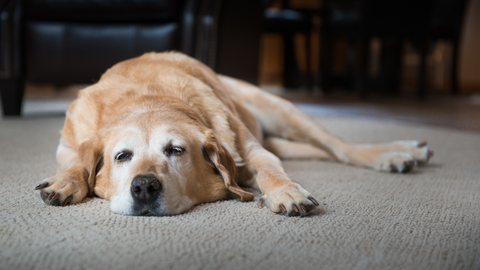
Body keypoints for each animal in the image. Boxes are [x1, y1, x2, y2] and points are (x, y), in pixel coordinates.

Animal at [34, 52, 436, 217]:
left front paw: (286, 192)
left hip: (282, 111)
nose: (144, 186)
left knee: (340, 148)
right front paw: (66, 183)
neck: (148, 98)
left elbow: (270, 169)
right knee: (319, 152)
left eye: (176, 150)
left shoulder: (252, 151)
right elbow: (76, 163)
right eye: (122, 156)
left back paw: (395, 154)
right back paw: (408, 151)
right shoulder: (66, 144)